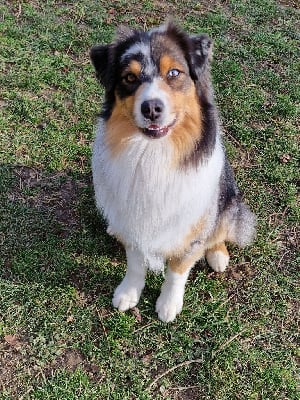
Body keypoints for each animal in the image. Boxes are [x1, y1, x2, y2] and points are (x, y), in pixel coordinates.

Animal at [89, 21, 255, 322]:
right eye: (129, 78)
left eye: (174, 73)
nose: (152, 108)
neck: (153, 153)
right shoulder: (135, 219)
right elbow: (135, 262)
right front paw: (129, 292)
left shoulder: (192, 225)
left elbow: (178, 269)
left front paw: (168, 304)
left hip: (228, 200)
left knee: (221, 230)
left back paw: (218, 255)